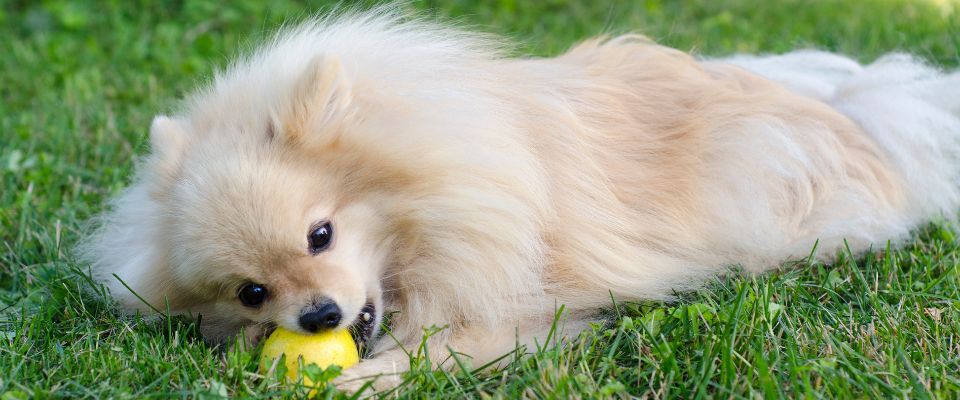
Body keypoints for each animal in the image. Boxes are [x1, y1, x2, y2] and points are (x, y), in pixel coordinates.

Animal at [80, 8, 960, 390]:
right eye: (252, 293)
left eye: (320, 235)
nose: (320, 316)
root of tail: (859, 114)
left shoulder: (513, 307)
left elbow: (429, 351)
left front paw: (348, 381)